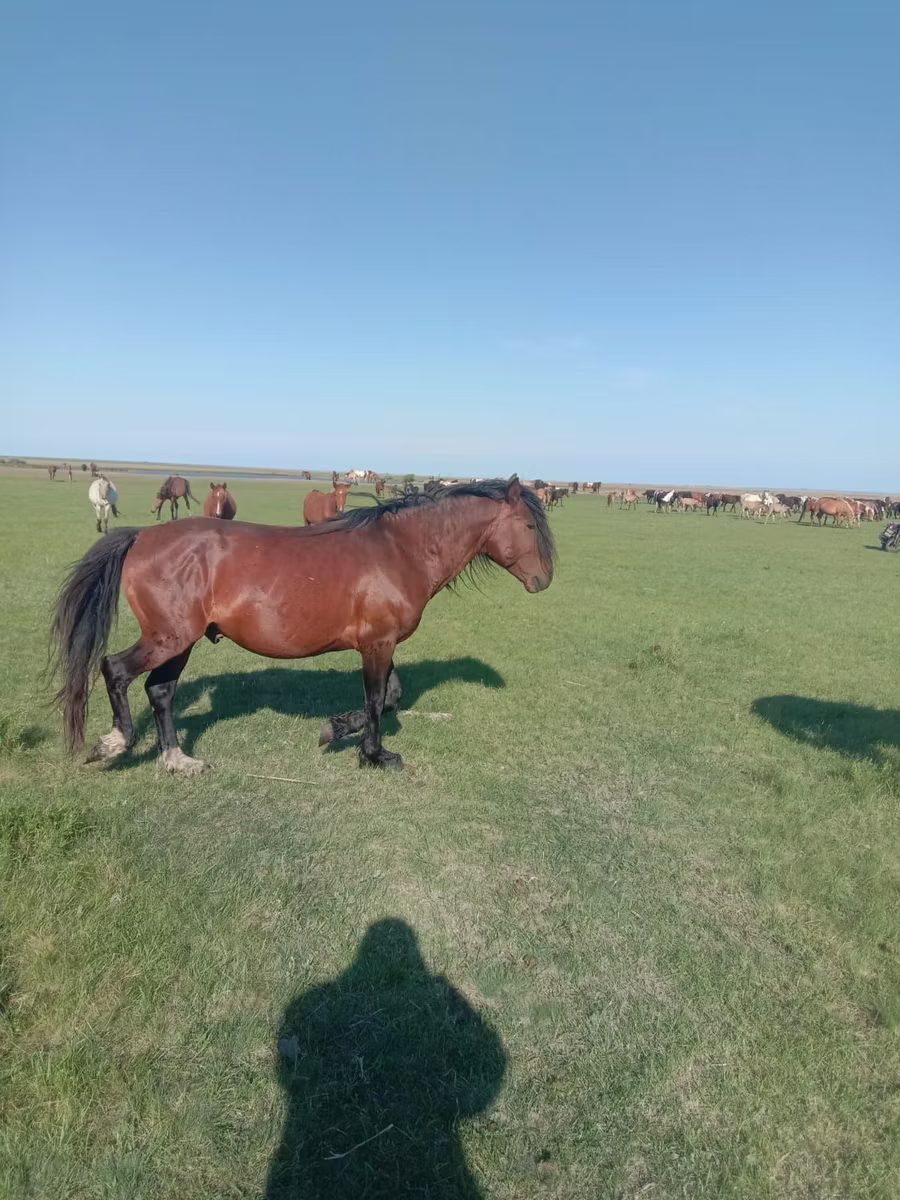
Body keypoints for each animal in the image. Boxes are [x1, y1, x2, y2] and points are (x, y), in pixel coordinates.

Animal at [50, 476, 555, 775]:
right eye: (531, 526)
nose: (544, 580)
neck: (400, 549)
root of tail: (142, 536)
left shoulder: (381, 643)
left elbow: (389, 697)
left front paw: (336, 728)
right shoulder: (378, 644)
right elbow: (376, 702)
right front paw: (374, 754)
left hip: (180, 642)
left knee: (160, 691)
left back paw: (177, 759)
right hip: (168, 637)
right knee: (115, 670)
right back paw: (116, 742)